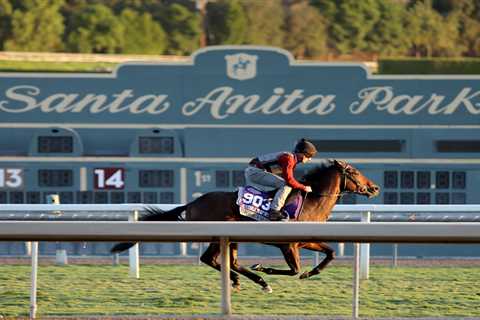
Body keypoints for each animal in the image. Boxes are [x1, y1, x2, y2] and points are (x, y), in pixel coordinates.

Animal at [111, 160, 378, 292]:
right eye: (354, 171)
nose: (374, 187)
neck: (311, 201)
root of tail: (193, 201)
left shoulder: (306, 240)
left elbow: (330, 254)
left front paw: (310, 273)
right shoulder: (288, 245)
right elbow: (292, 269)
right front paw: (265, 268)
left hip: (232, 237)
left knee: (229, 262)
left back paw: (249, 280)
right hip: (218, 234)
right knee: (210, 259)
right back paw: (254, 279)